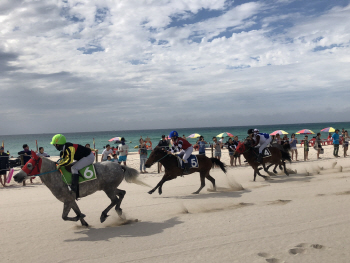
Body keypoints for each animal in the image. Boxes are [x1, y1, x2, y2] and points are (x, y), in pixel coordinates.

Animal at [12, 152, 141, 228]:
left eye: (29, 165)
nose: (15, 176)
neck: (56, 176)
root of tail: (119, 165)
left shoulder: (67, 200)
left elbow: (65, 217)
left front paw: (80, 217)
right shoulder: (71, 200)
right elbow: (77, 211)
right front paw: (84, 222)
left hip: (108, 189)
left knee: (114, 200)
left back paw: (104, 215)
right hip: (110, 187)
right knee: (122, 193)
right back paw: (119, 212)